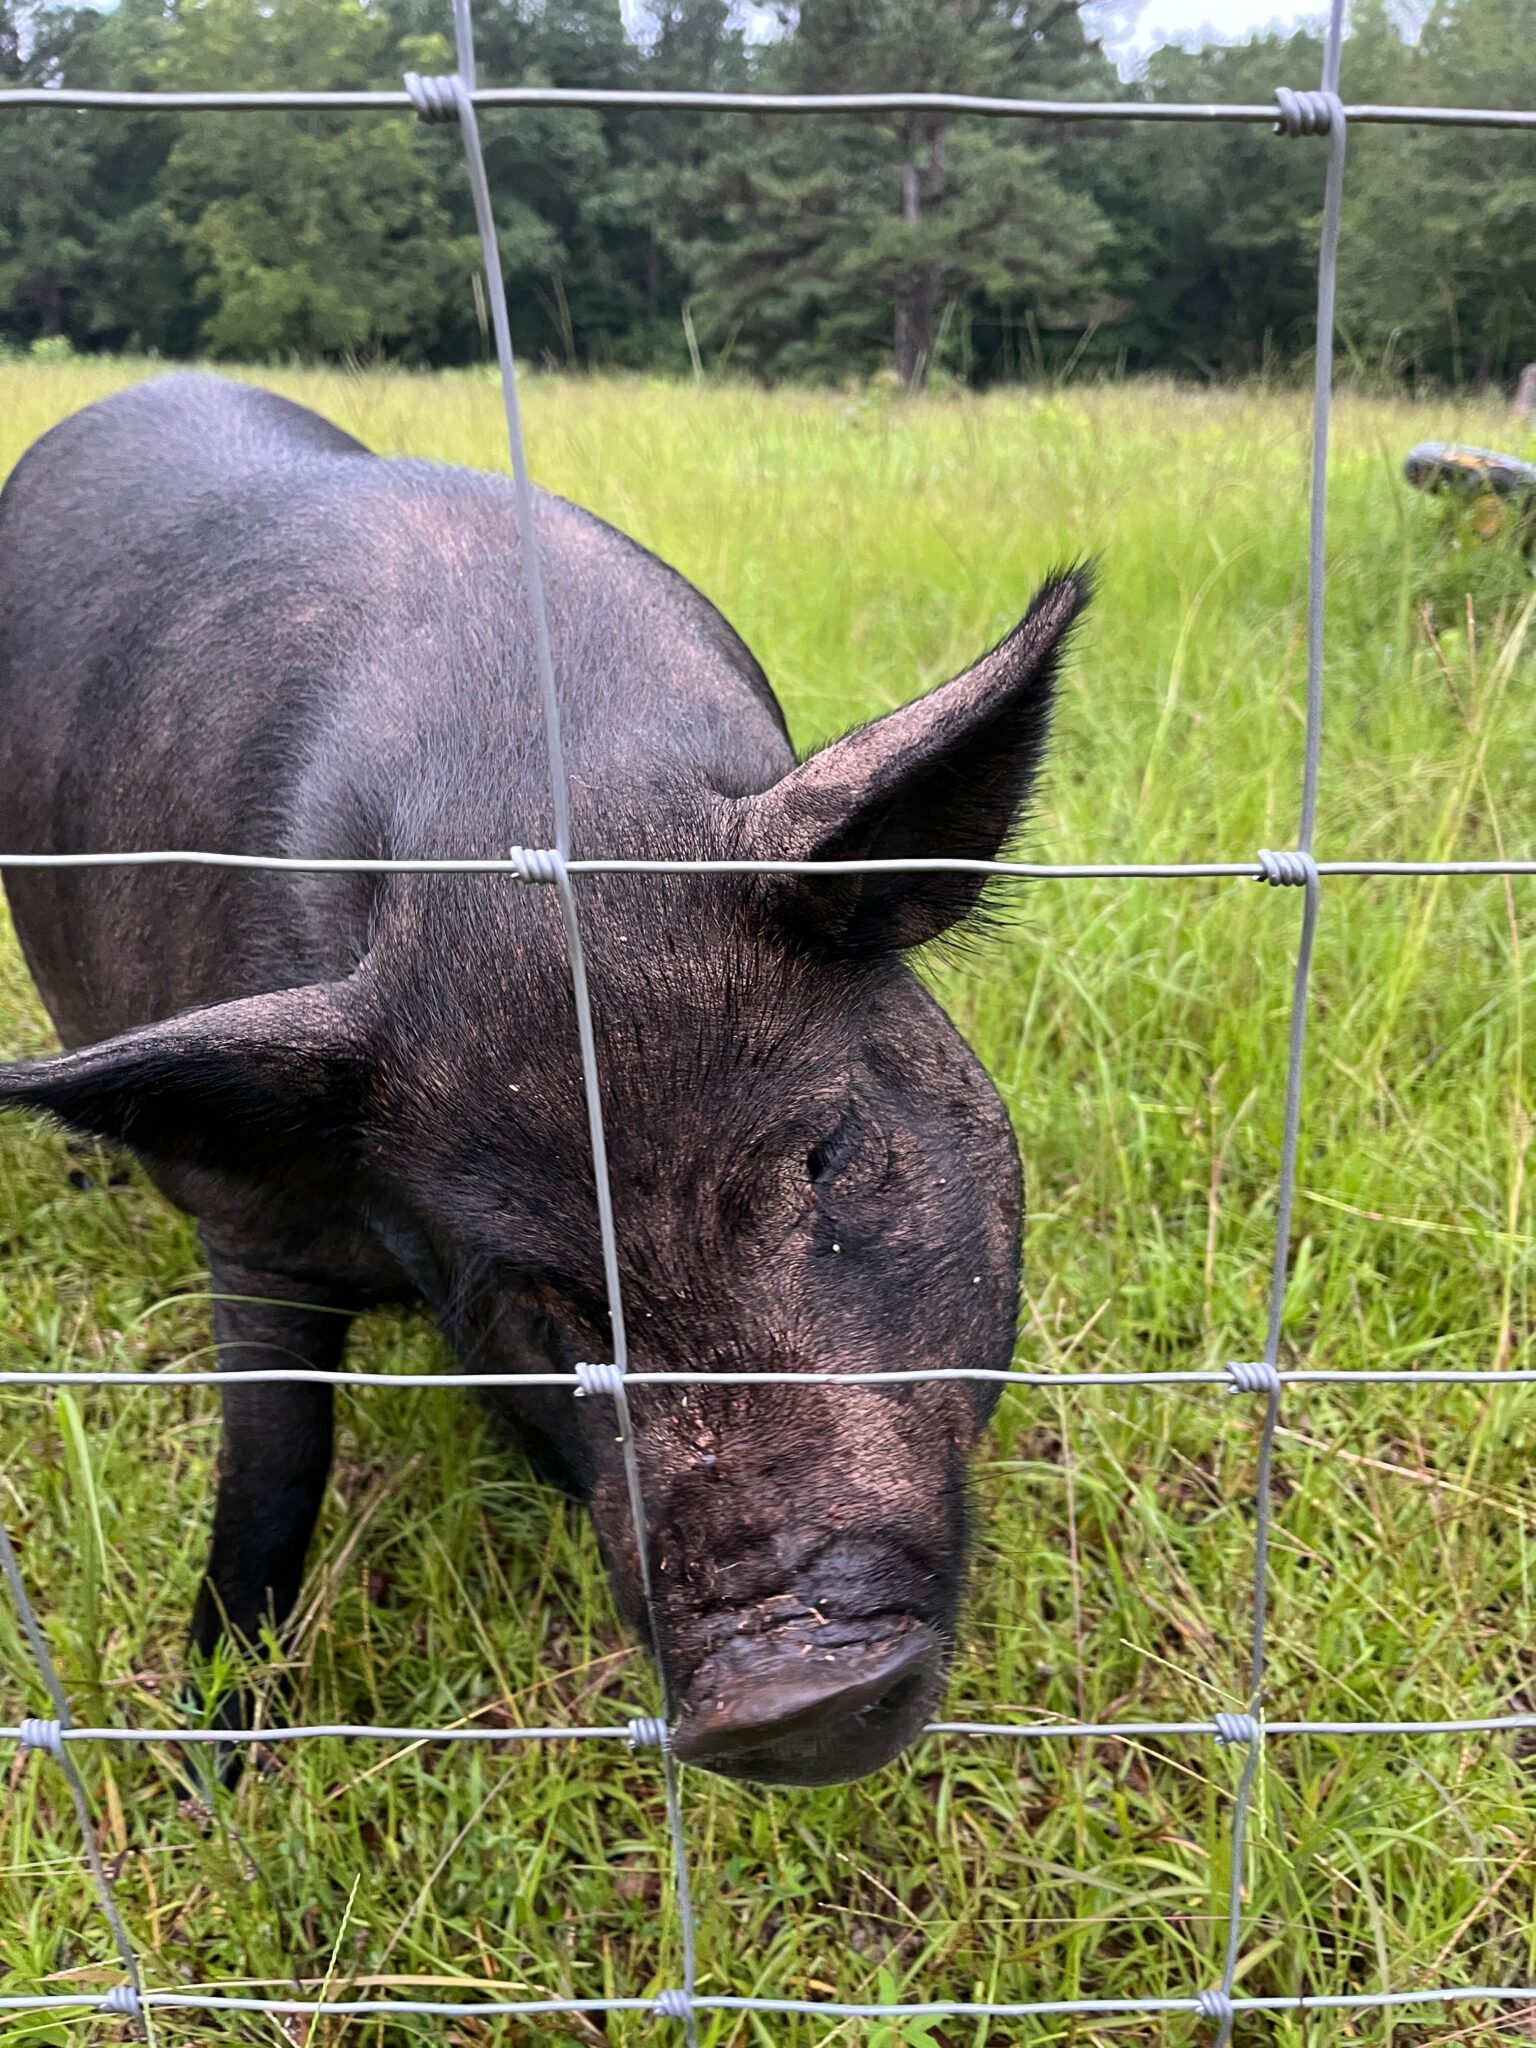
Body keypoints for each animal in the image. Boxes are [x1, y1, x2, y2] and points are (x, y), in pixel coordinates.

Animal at [0, 376, 1089, 1785]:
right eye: (525, 1279)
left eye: (831, 1149)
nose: (783, 1680)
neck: (520, 793)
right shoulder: (250, 1230)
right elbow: (272, 1468)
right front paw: (214, 1772)